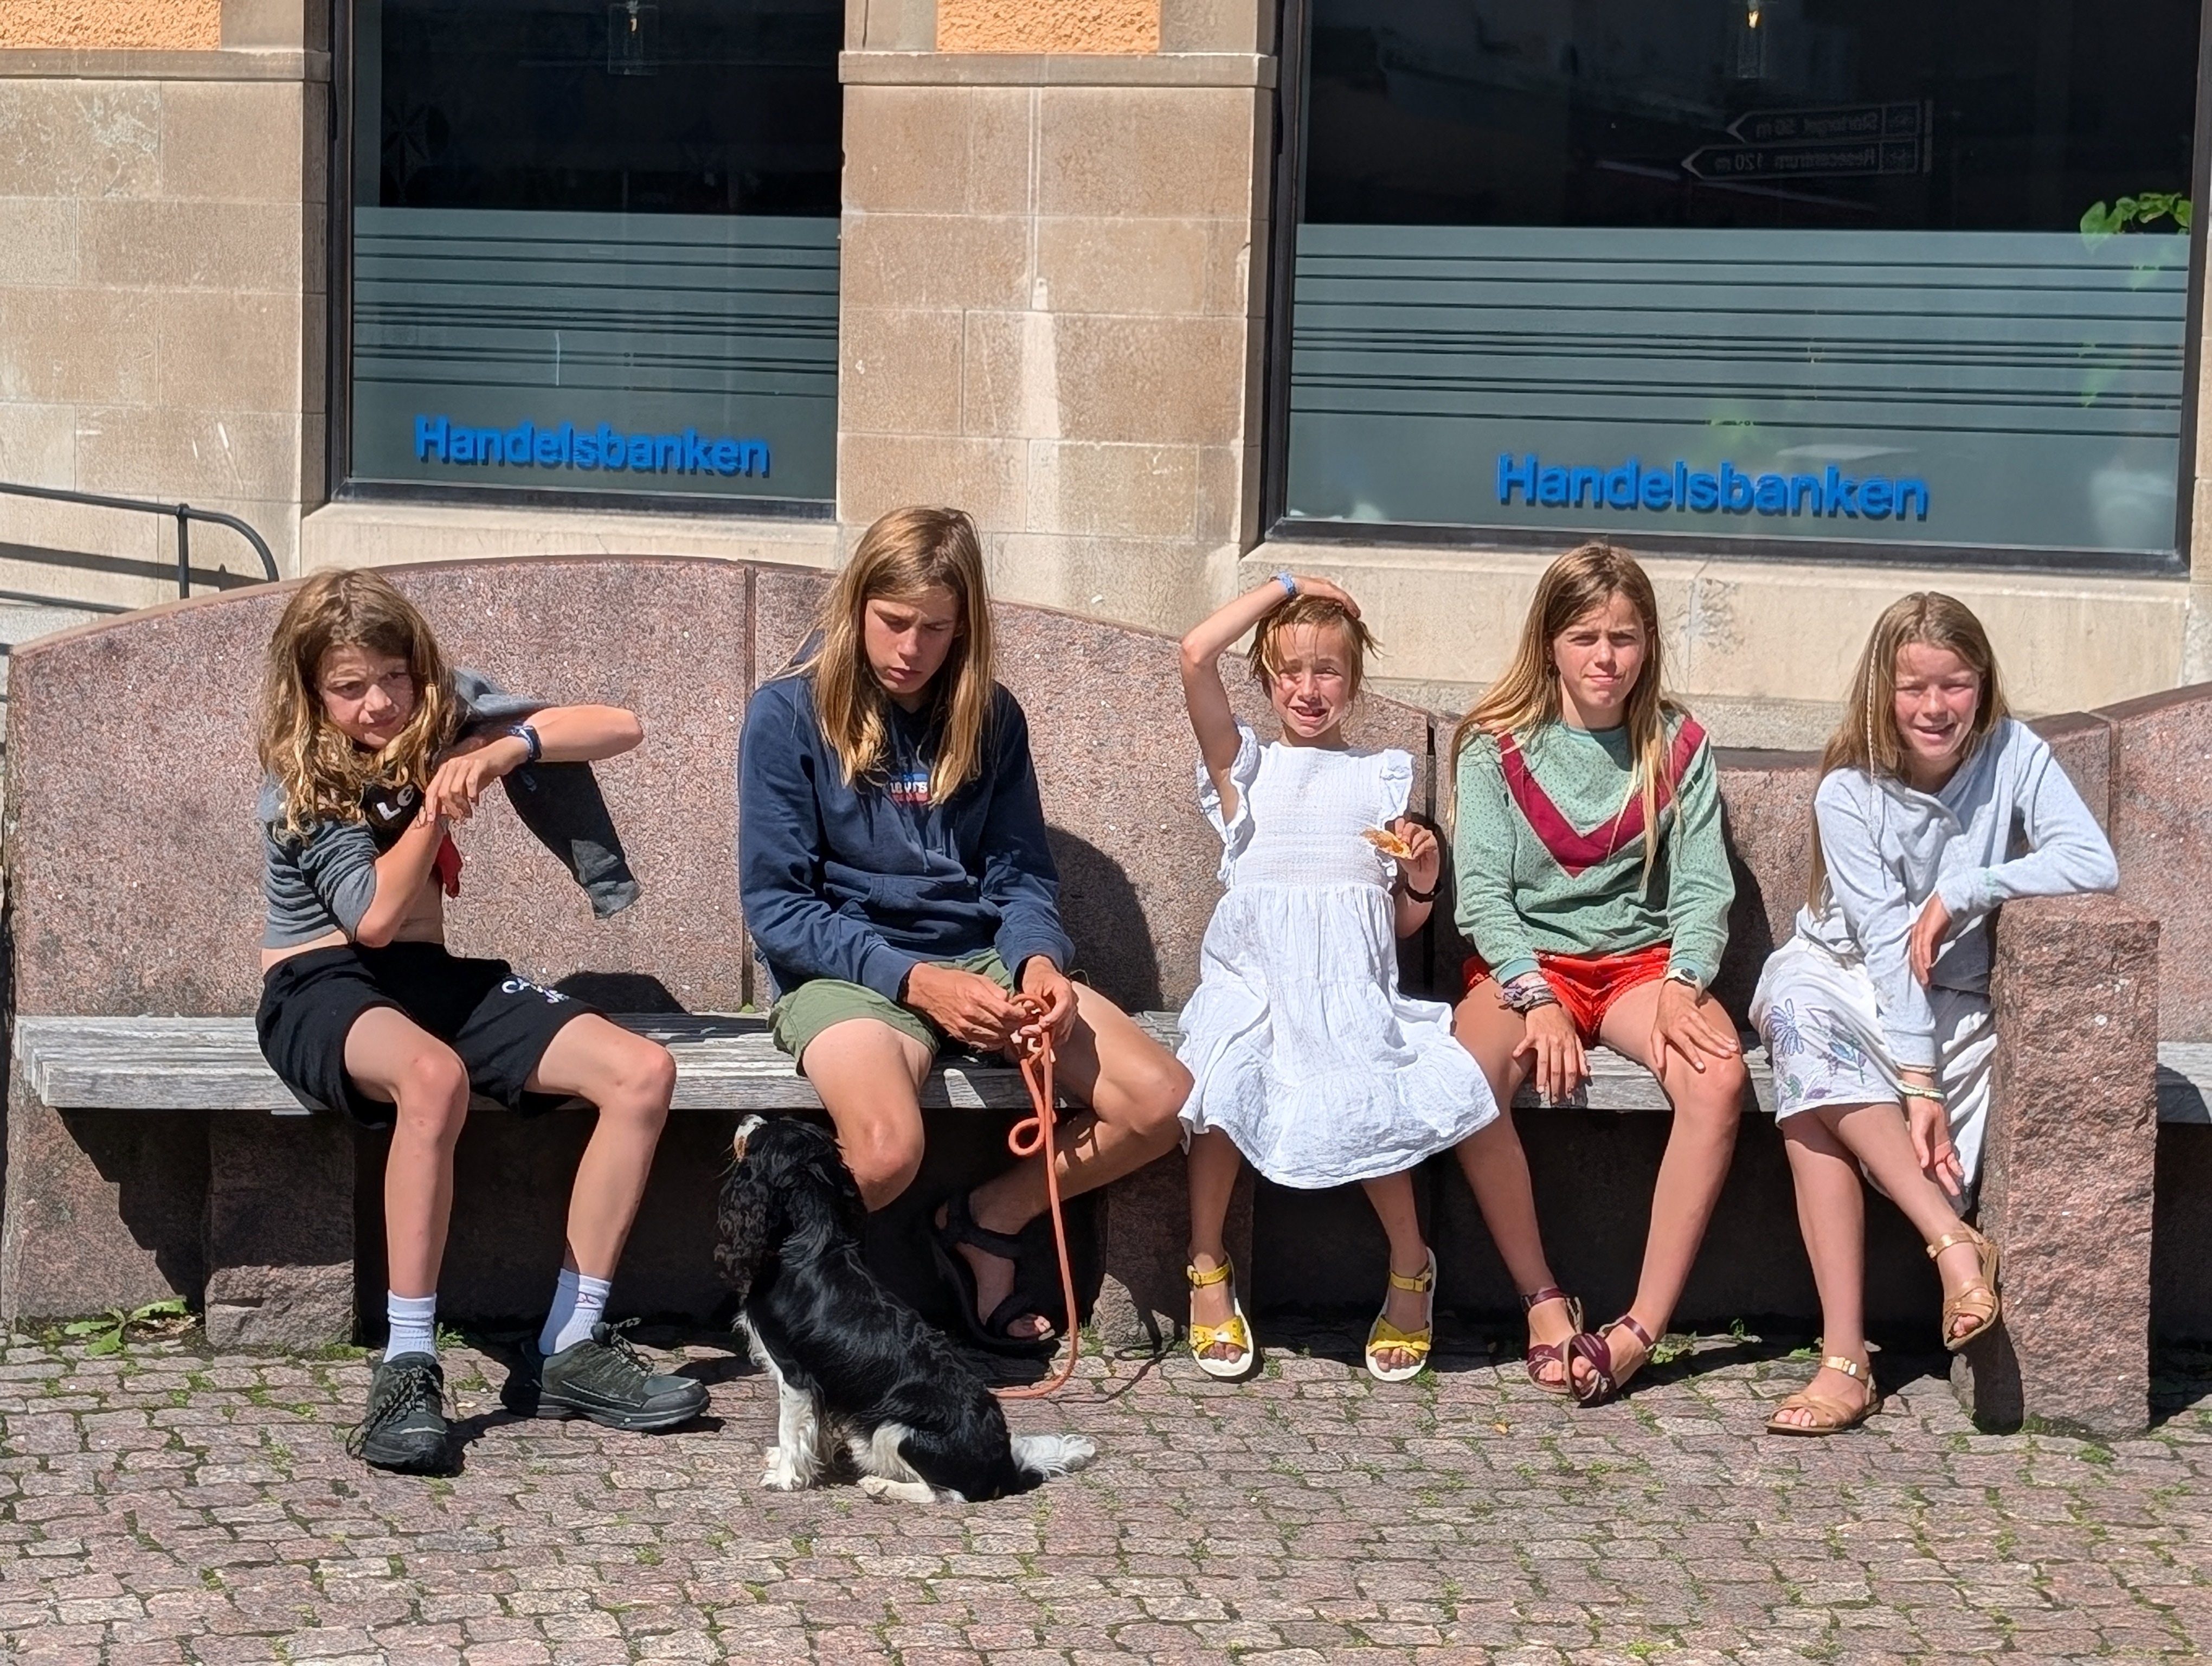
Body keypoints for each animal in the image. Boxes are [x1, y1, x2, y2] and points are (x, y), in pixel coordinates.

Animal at [713, 1115, 1097, 1503]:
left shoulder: (795, 1374)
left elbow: (790, 1428)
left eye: (761, 1132)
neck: (810, 1243)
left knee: (945, 1495)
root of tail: (1005, 1469)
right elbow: (815, 1430)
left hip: (896, 1429)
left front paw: (785, 1477)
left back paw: (880, 1484)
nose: (748, 1118)